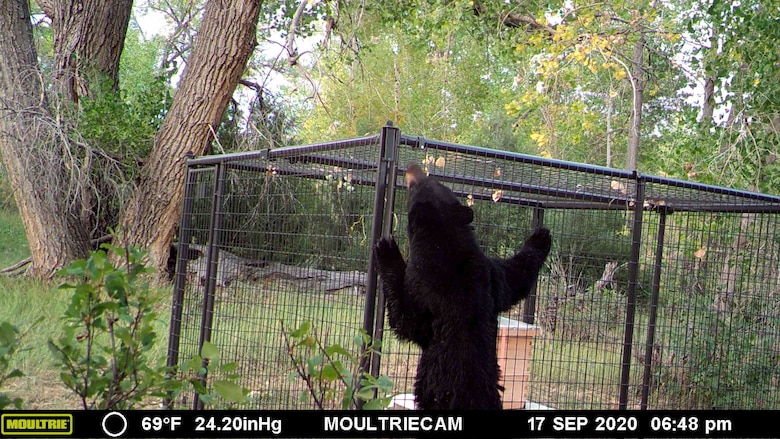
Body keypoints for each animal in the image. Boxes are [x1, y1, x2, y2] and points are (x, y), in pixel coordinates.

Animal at [374, 163, 552, 410]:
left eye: (414, 186)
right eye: (435, 181)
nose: (412, 167)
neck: (446, 245)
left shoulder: (424, 288)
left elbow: (408, 321)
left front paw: (387, 248)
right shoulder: (487, 276)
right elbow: (514, 277)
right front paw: (541, 236)